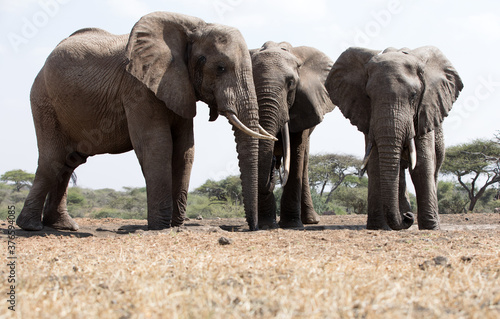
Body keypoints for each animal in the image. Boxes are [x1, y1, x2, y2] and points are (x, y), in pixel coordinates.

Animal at [16, 11, 274, 232]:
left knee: (70, 162)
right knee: (52, 160)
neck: (193, 27)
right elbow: (157, 145)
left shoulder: (180, 86)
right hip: (43, 100)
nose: (252, 227)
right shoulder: (138, 88)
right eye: (220, 68)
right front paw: (160, 226)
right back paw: (31, 227)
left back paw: (63, 226)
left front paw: (175, 225)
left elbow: (185, 150)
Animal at [250, 42, 336, 230]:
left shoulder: (304, 104)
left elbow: (297, 150)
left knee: (303, 163)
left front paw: (291, 225)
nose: (274, 164)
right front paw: (266, 225)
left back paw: (310, 221)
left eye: (291, 83)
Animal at [326, 46, 462, 230]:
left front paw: (430, 228)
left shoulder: (425, 112)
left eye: (414, 95)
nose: (408, 217)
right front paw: (378, 227)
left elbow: (422, 164)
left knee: (433, 169)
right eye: (368, 96)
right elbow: (375, 164)